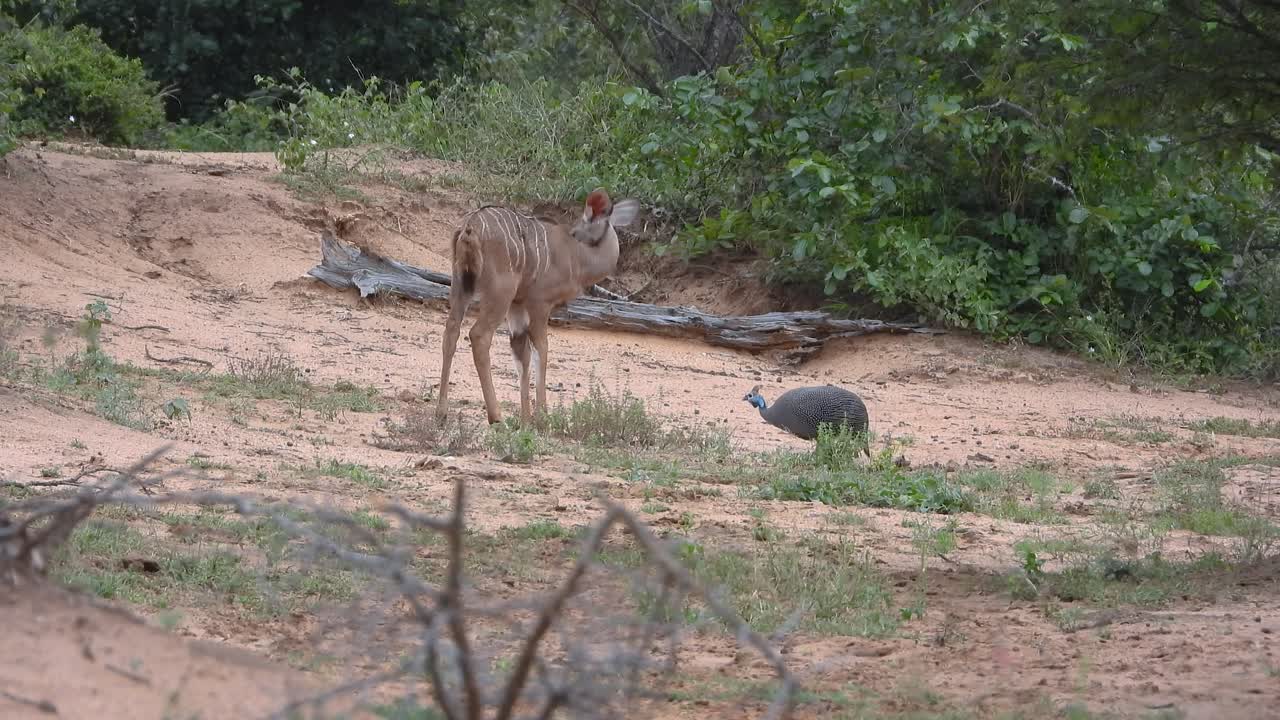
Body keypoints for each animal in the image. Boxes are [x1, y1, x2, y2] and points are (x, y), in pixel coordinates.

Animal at [435, 188, 640, 425]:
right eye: (576, 230)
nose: (573, 233)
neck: (578, 257)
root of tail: (470, 227)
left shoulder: (518, 304)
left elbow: (521, 352)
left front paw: (526, 419)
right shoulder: (540, 303)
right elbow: (542, 349)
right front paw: (542, 416)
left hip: (461, 286)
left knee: (451, 330)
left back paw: (441, 412)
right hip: (500, 293)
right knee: (479, 336)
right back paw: (496, 417)